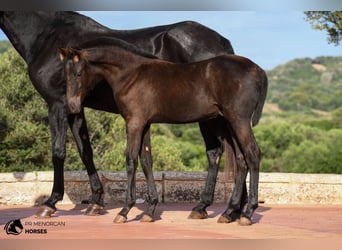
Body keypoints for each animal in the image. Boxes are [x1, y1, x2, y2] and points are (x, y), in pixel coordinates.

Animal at [0, 11, 243, 219]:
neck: (45, 35)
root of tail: (223, 43)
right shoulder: (75, 107)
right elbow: (85, 151)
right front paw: (96, 201)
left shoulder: (57, 103)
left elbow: (58, 152)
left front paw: (50, 203)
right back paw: (220, 209)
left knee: (221, 152)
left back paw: (224, 209)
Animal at [59, 40, 268, 225]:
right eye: (65, 75)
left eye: (78, 73)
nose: (72, 107)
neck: (131, 75)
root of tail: (258, 70)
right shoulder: (144, 124)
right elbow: (146, 161)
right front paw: (150, 210)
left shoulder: (134, 122)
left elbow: (131, 161)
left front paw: (125, 211)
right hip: (230, 123)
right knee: (241, 160)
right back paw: (228, 212)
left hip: (238, 121)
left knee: (253, 154)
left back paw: (247, 213)